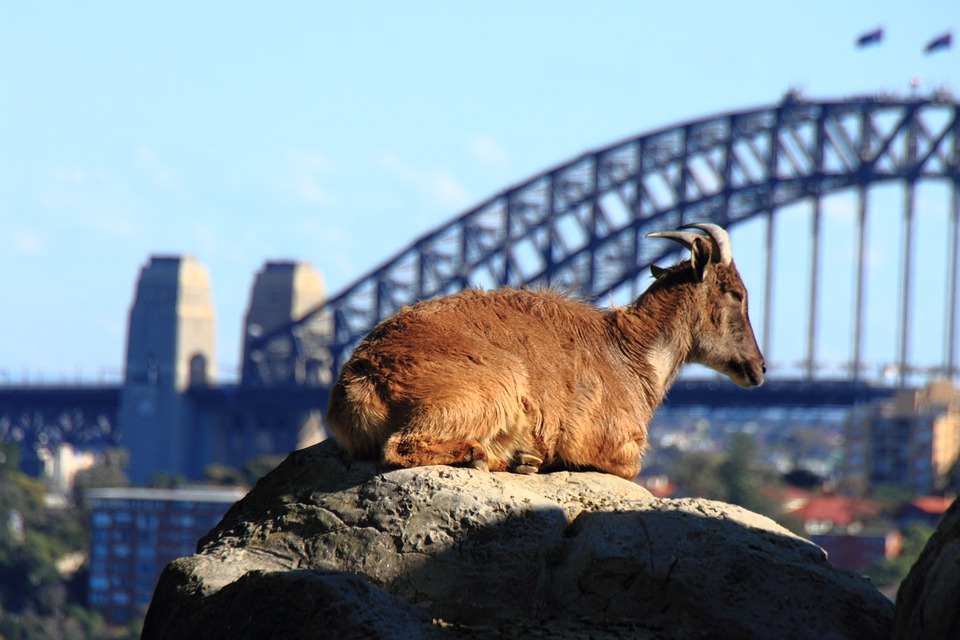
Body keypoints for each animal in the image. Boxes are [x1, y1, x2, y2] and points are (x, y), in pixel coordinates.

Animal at [326, 222, 768, 478]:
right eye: (736, 294)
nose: (759, 367)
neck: (633, 354)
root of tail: (363, 382)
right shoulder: (614, 443)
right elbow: (624, 466)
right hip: (483, 392)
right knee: (399, 448)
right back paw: (495, 457)